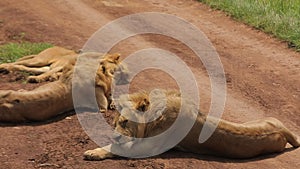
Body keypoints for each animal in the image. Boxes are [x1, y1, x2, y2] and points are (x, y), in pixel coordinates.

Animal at [84, 90, 300, 160]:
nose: (115, 135)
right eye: (115, 122)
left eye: (125, 121)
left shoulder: (147, 147)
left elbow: (115, 148)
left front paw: (93, 152)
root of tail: (283, 129)